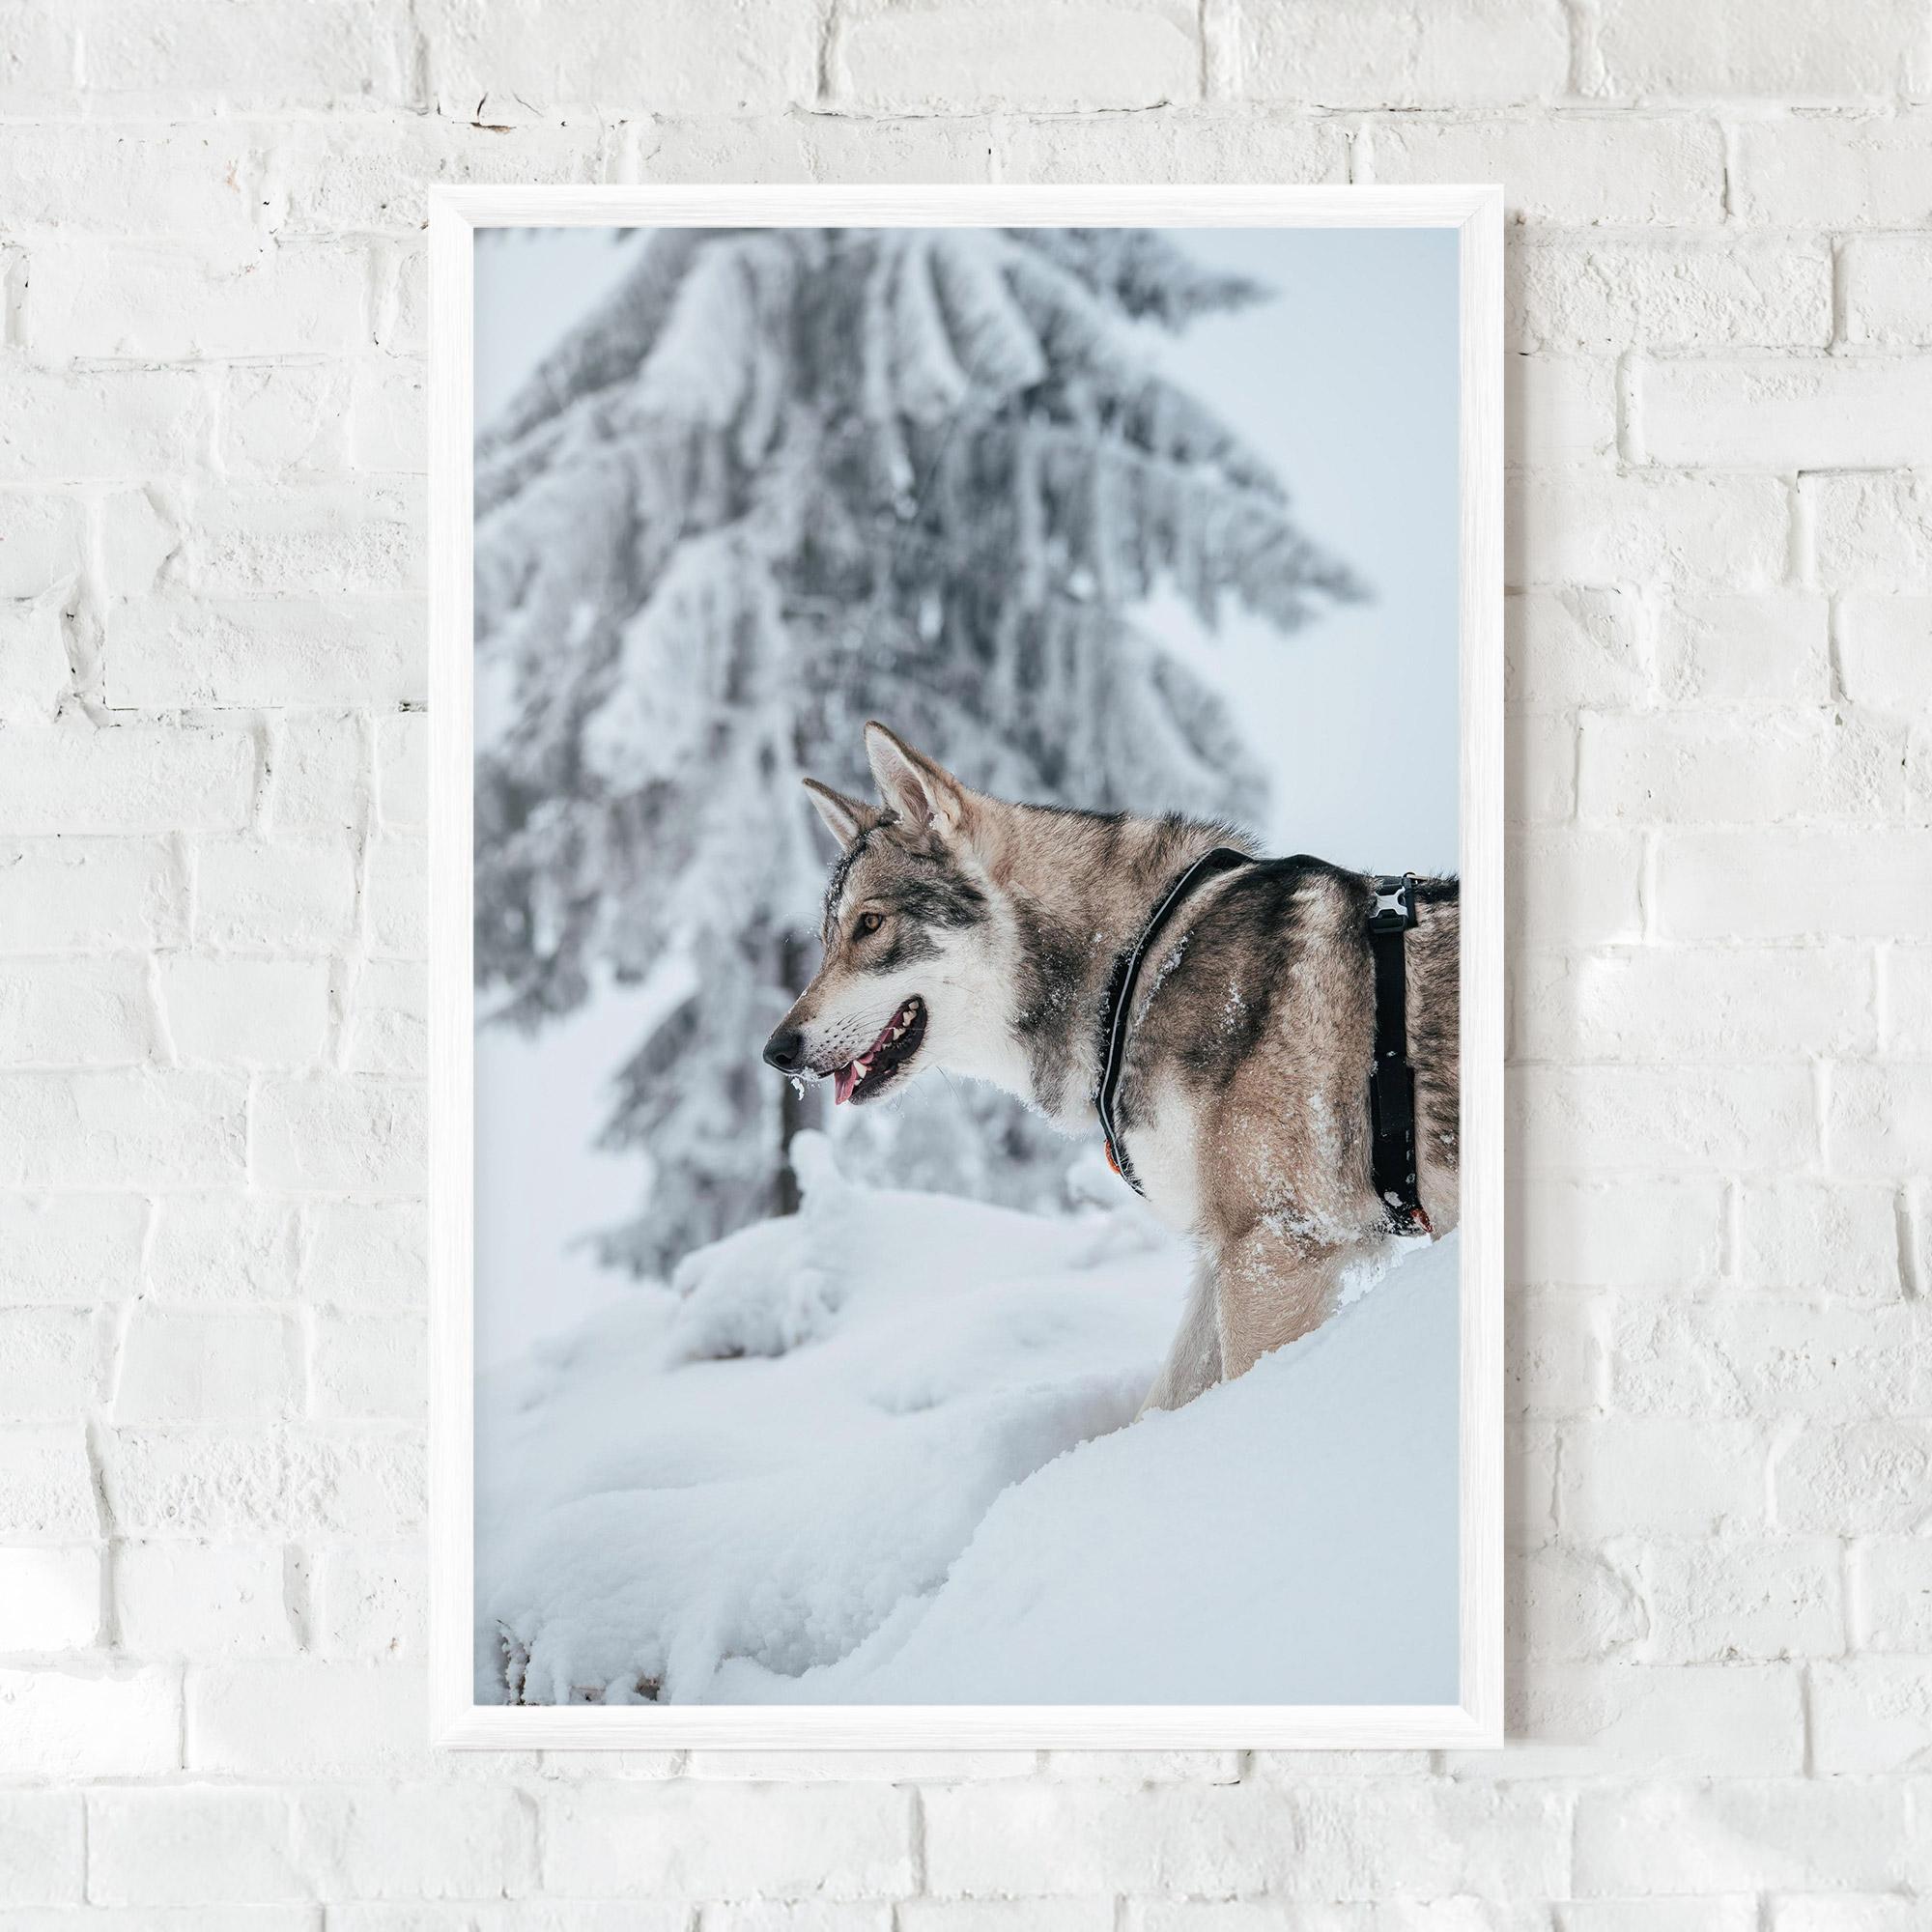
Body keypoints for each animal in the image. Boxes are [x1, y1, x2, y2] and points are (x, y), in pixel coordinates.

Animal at [763, 722, 1459, 1414]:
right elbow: (1162, 1404)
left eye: (870, 924)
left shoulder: (1275, 1248)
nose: (776, 1051)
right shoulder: (1225, 1254)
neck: (1135, 966)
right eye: (826, 940)